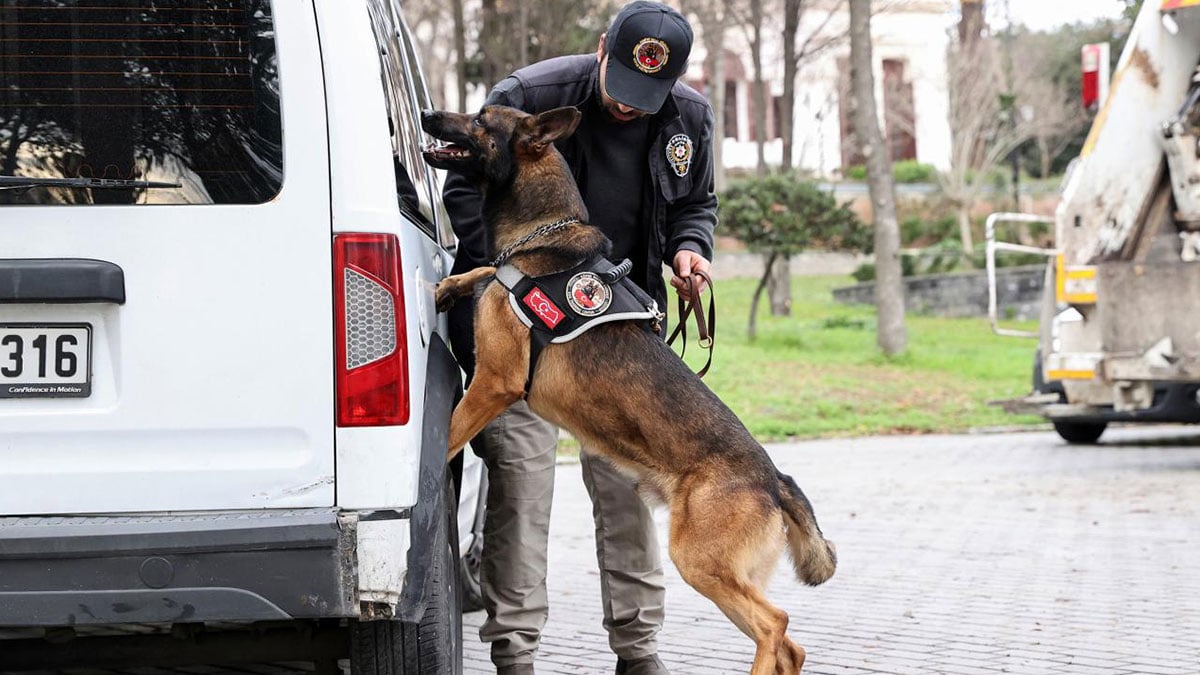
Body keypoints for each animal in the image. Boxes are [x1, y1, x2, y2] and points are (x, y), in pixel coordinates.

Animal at [422, 105, 835, 672]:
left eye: (482, 119)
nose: (428, 115)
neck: (542, 232)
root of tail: (775, 480)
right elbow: (487, 266)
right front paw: (451, 284)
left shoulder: (492, 384)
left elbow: (448, 434)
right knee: (790, 645)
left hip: (699, 561)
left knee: (775, 625)